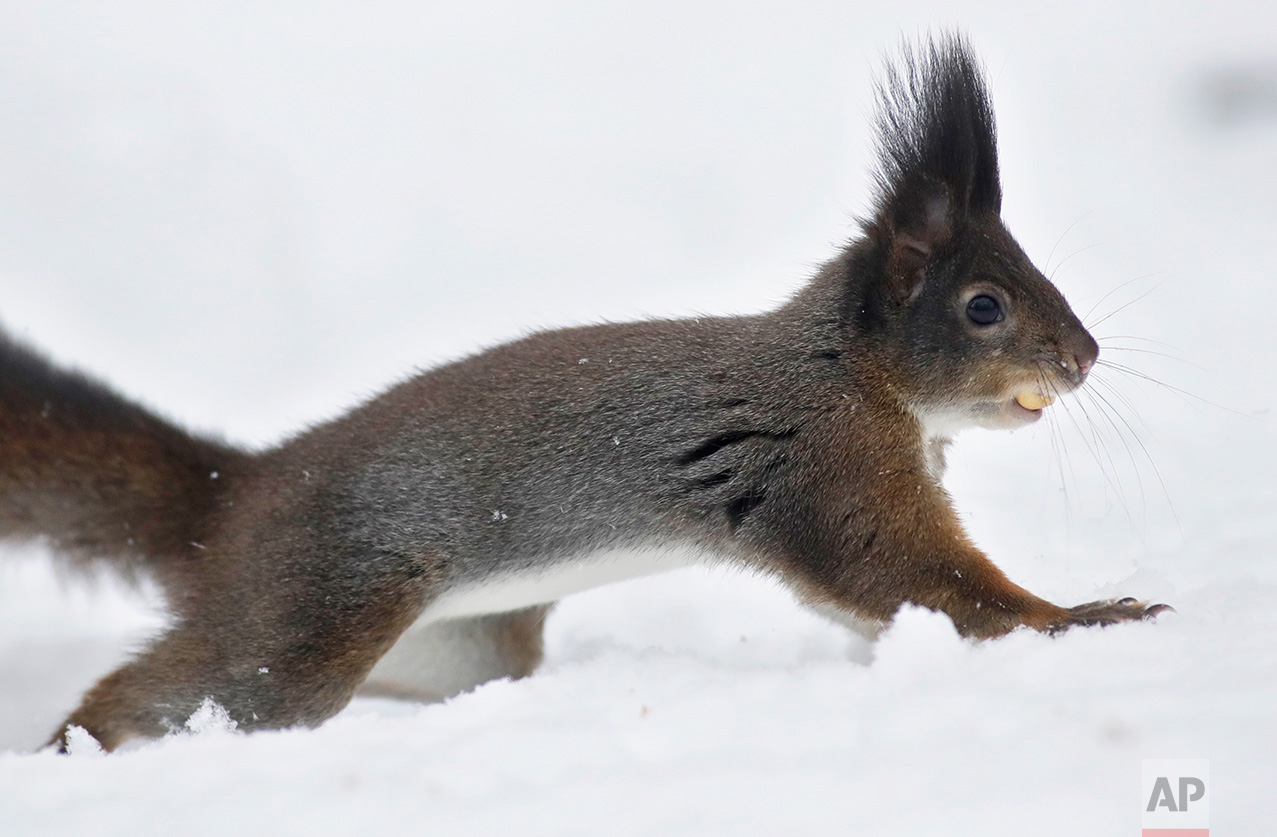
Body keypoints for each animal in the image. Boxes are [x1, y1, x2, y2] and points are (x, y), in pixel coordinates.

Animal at [0, 34, 1169, 751]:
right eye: (984, 306)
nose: (1082, 358)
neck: (848, 372)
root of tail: (233, 495)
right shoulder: (822, 465)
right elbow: (920, 576)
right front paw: (1086, 616)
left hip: (457, 643)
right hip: (306, 611)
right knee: (178, 691)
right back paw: (75, 758)